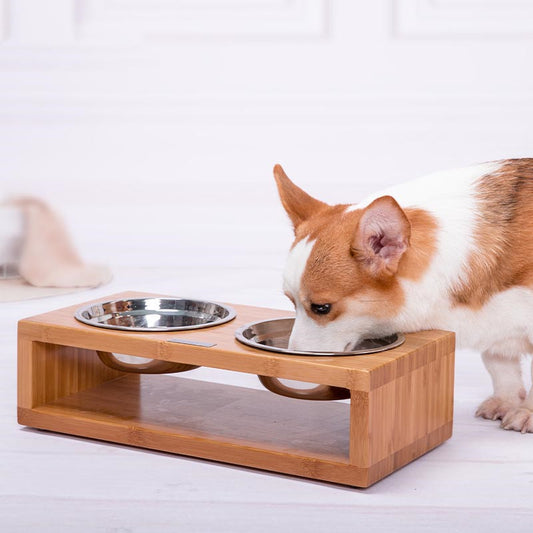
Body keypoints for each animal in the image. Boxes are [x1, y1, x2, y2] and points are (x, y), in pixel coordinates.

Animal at [274, 159, 532, 432]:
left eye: (321, 307)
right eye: (291, 301)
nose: (292, 369)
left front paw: (526, 412)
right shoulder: (493, 330)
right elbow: (499, 364)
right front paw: (505, 401)